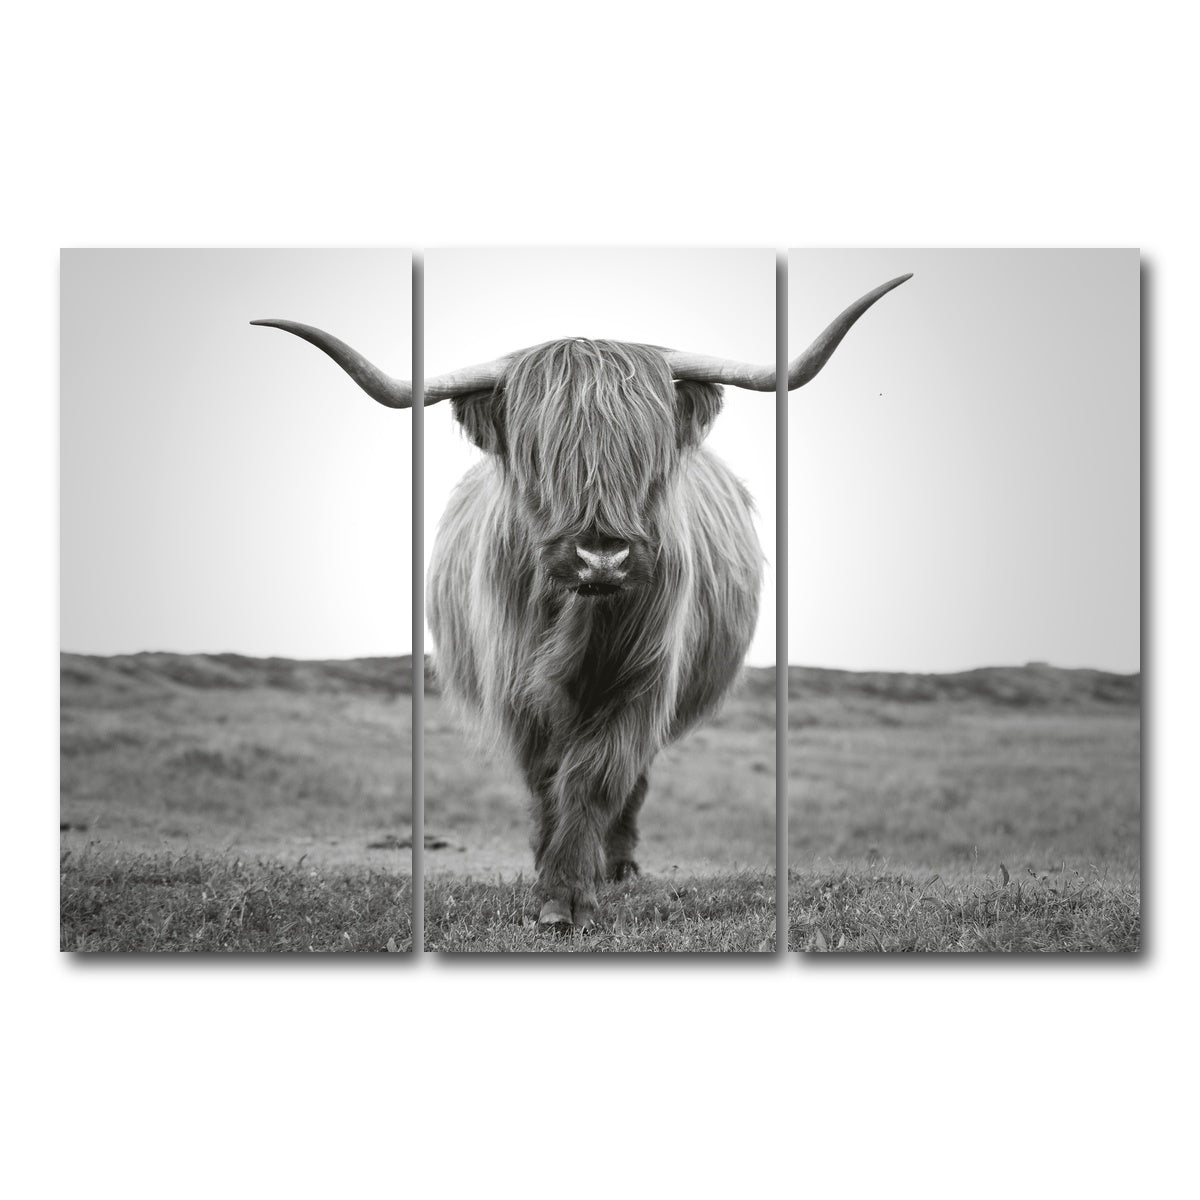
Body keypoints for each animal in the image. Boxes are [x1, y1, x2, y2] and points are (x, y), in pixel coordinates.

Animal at [253, 271, 910, 929]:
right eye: (538, 457)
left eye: (647, 454)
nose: (601, 558)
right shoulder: (517, 689)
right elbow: (548, 778)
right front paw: (550, 879)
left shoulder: (642, 681)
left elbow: (597, 776)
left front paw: (570, 891)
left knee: (632, 781)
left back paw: (617, 866)